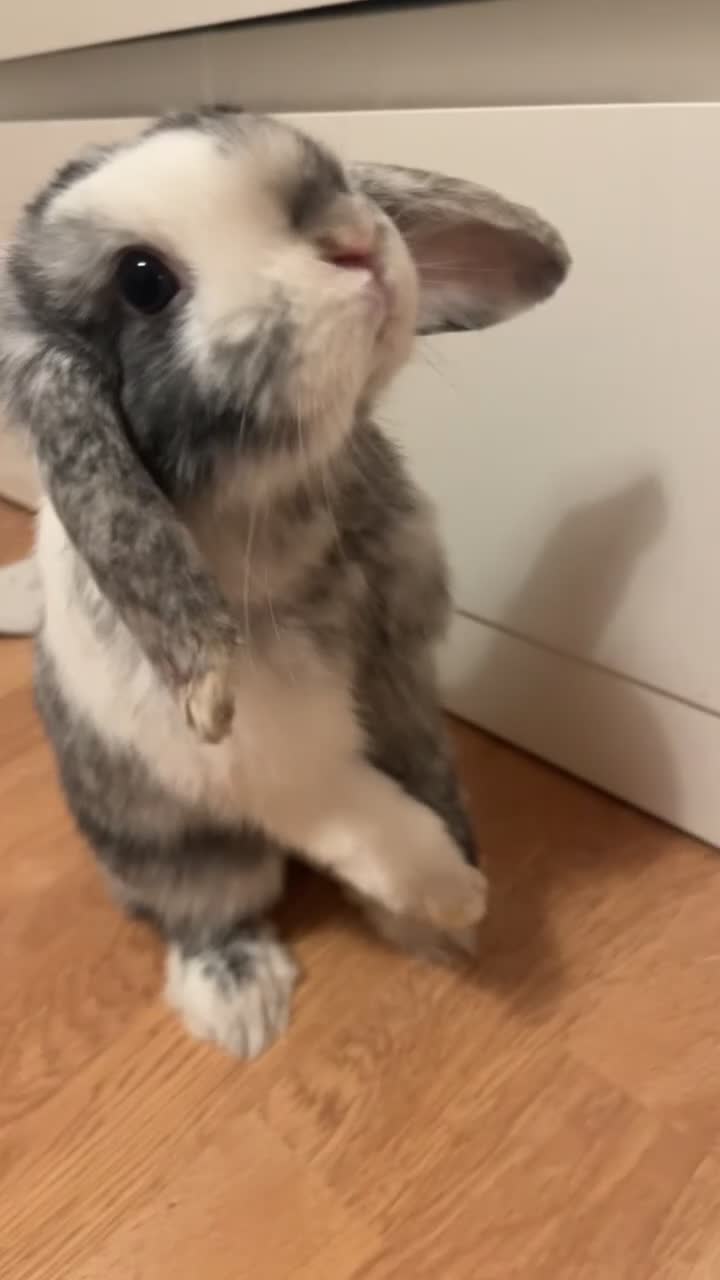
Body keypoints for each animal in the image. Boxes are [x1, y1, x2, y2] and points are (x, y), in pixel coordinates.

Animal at [0, 107, 569, 1058]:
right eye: (143, 281)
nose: (355, 241)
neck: (278, 502)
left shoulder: (406, 679)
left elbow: (431, 778)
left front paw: (448, 913)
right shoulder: (277, 760)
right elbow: (373, 821)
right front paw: (457, 894)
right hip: (176, 853)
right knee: (205, 911)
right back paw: (241, 1004)